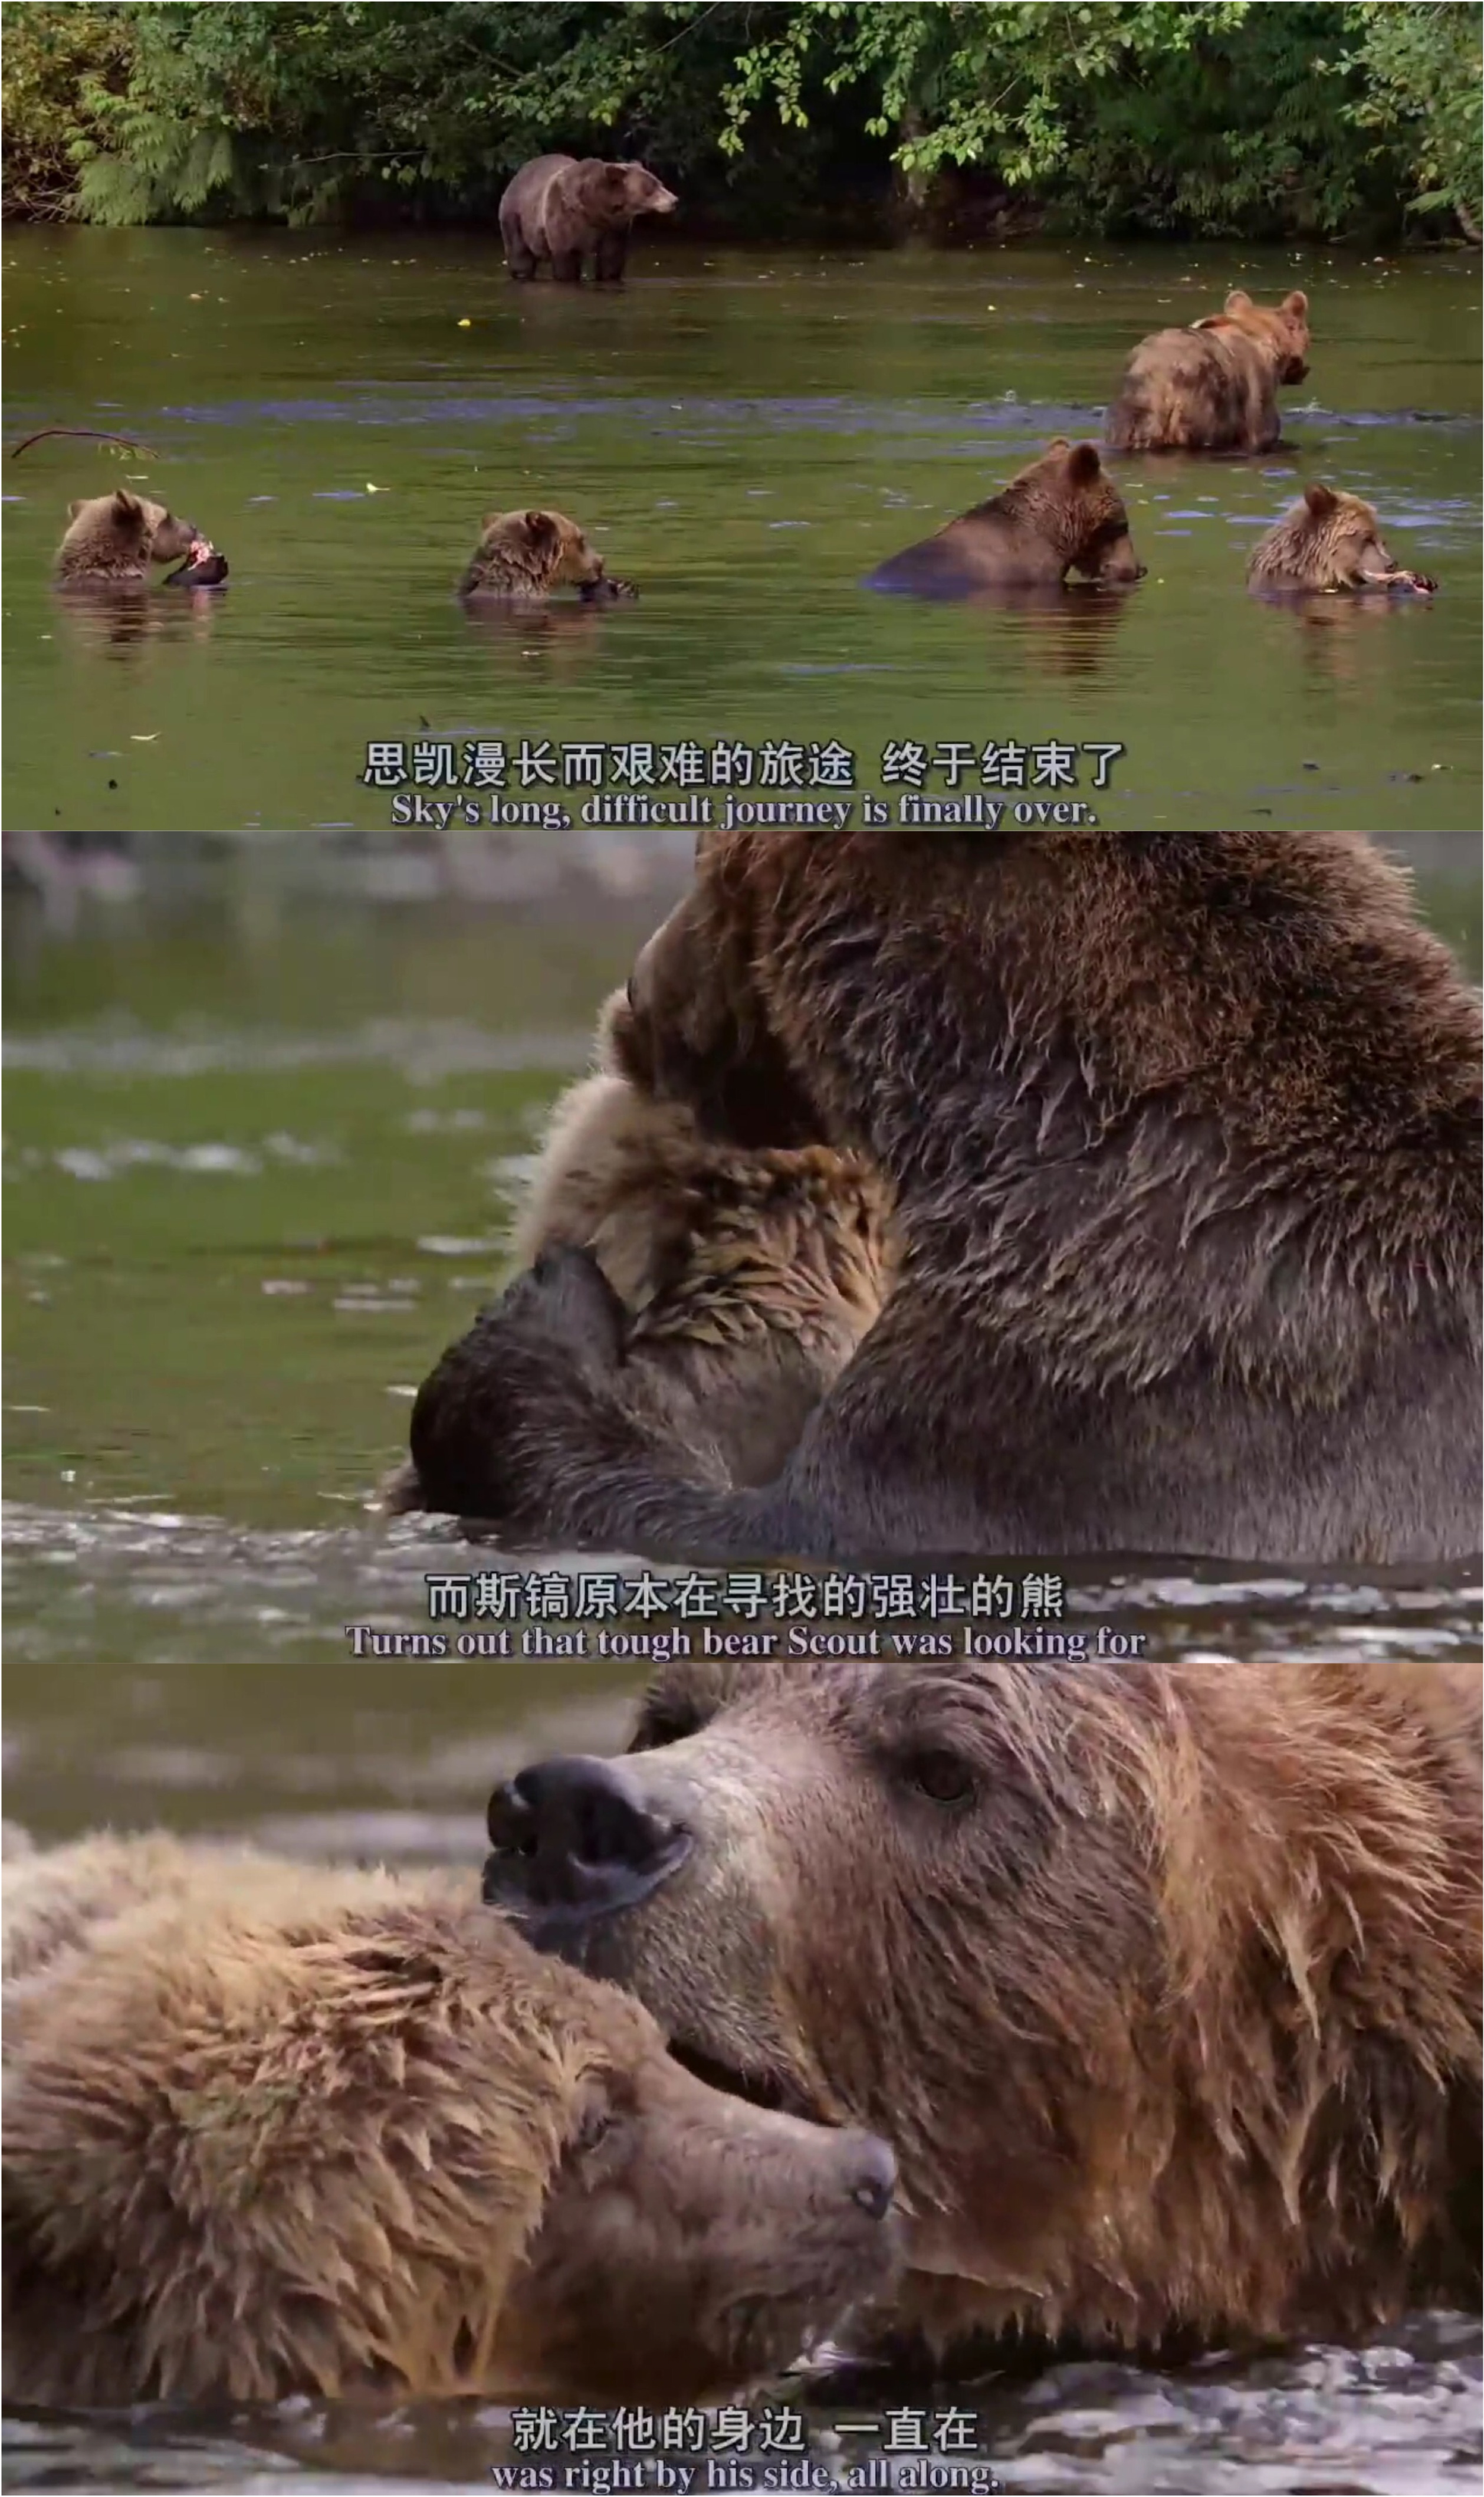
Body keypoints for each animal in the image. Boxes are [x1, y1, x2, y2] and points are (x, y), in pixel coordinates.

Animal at [499, 154, 678, 284]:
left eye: (659, 182)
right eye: (651, 187)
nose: (674, 200)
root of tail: (519, 173)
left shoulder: (614, 227)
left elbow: (610, 258)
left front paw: (609, 276)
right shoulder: (564, 217)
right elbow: (567, 257)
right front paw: (567, 276)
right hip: (515, 217)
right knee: (520, 255)